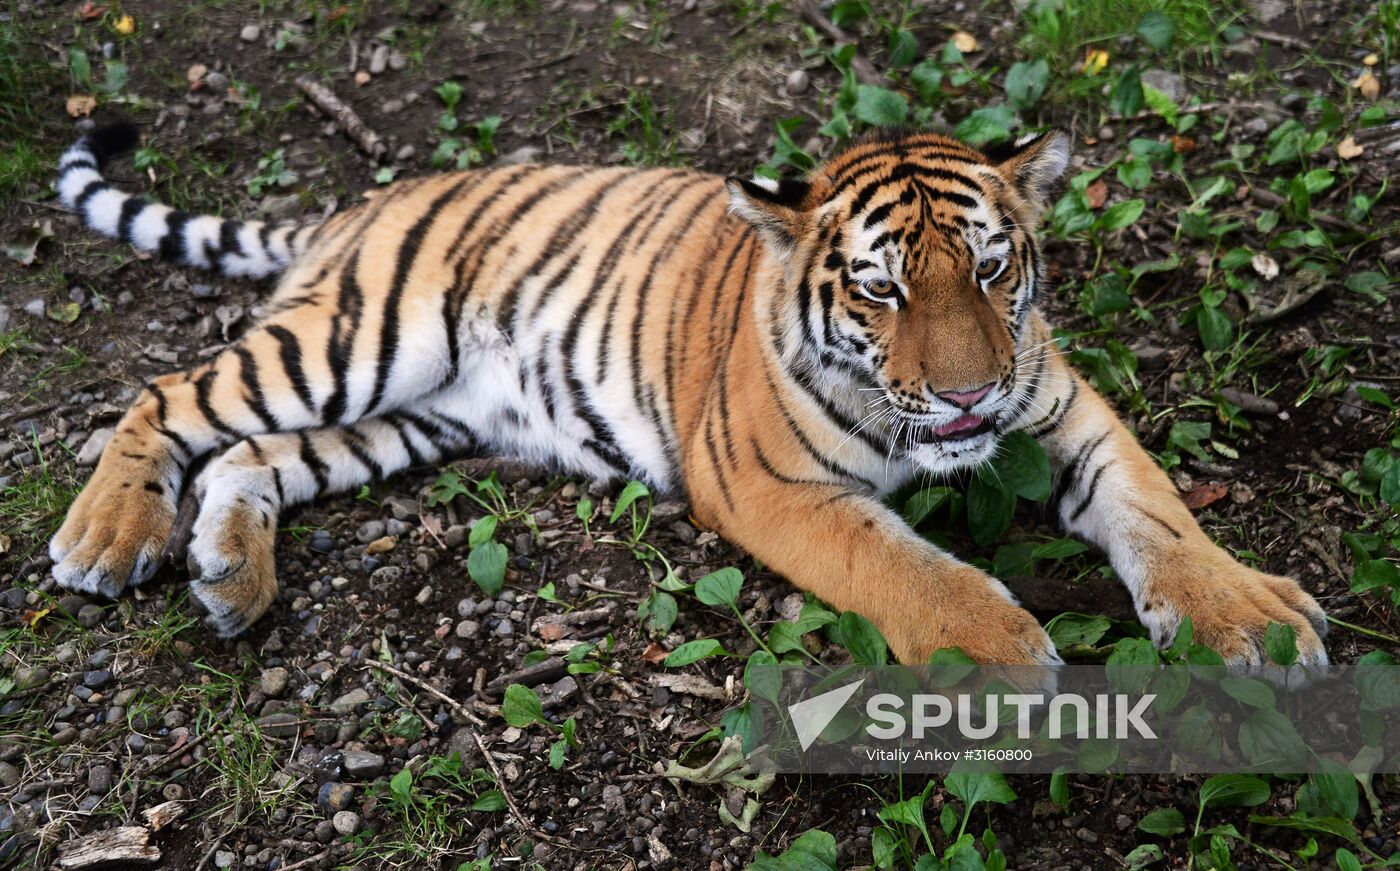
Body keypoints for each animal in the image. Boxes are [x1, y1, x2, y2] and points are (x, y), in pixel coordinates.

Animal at [48, 120, 1328, 680]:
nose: (966, 394)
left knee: (245, 456)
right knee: (169, 394)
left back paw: (229, 575)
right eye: (880, 286)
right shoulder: (769, 486)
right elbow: (899, 563)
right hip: (361, 338)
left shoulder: (1060, 412)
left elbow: (1155, 511)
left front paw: (1246, 618)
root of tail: (351, 208)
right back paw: (107, 538)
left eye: (992, 268)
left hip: (409, 414)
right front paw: (996, 654)